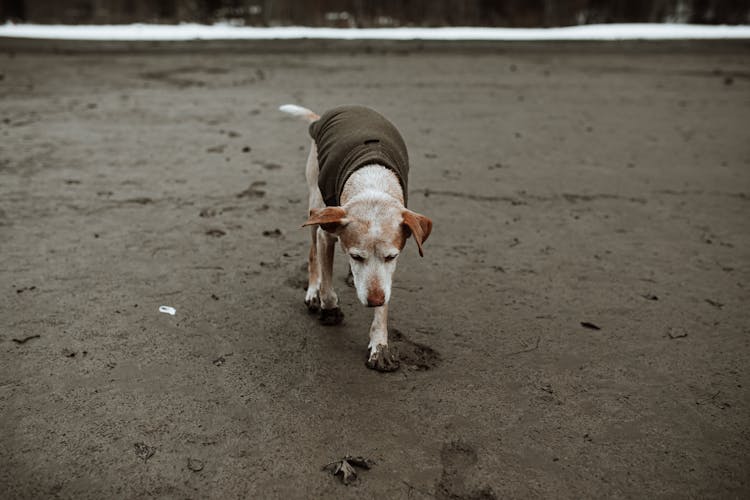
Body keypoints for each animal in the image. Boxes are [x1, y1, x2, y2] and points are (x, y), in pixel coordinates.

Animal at [280, 104, 434, 372]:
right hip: (314, 202)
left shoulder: (389, 270)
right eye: (355, 256)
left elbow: (384, 301)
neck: (371, 184)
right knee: (312, 255)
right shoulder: (326, 233)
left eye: (391, 257)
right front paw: (330, 309)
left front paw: (379, 345)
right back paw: (313, 291)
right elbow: (328, 287)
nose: (374, 300)